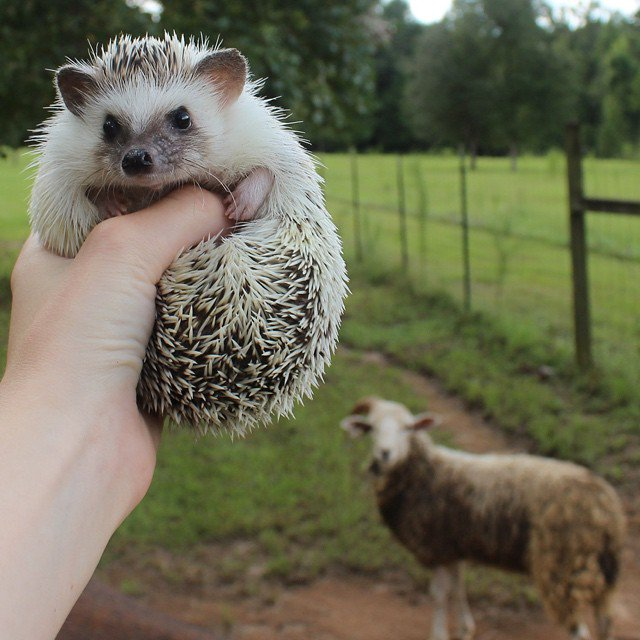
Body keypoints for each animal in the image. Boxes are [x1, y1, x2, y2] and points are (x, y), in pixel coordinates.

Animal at [342, 396, 628, 640]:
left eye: (407, 428)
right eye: (371, 428)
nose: (384, 453)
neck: (422, 472)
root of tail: (606, 507)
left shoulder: (436, 547)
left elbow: (438, 595)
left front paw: (439, 634)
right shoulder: (452, 548)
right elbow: (457, 589)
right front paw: (465, 629)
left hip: (562, 568)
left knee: (579, 631)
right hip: (601, 574)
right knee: (605, 624)